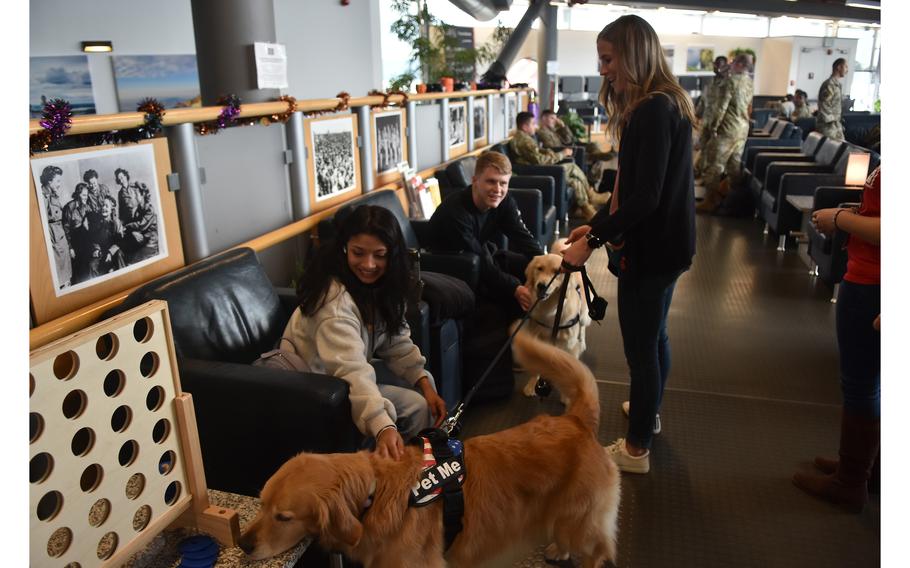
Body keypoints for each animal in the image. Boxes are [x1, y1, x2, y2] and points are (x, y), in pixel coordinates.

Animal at [239, 330, 624, 564]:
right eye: (261, 504)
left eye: (284, 517)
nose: (242, 544)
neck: (376, 493)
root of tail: (576, 419)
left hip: (584, 520)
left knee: (597, 550)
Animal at [524, 251, 596, 402]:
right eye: (539, 268)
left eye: (557, 272)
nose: (542, 285)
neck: (550, 310)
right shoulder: (536, 336)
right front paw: (532, 385)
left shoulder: (568, 344)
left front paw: (567, 396)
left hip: (585, 315)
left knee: (582, 328)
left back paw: (583, 343)